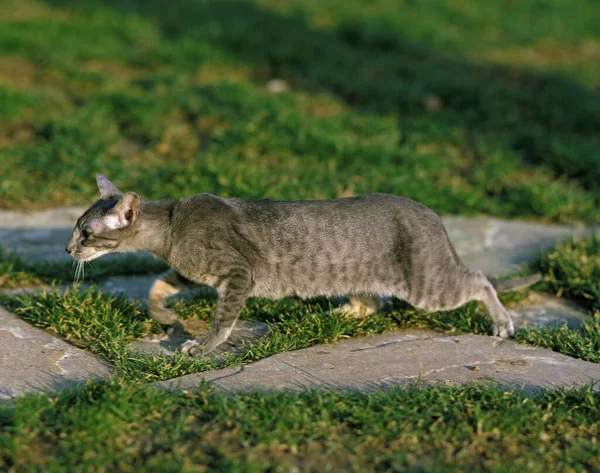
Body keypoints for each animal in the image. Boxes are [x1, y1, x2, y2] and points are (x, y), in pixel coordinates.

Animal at [64, 175, 540, 356]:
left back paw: (502, 323)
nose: (68, 250)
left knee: (479, 279)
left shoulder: (238, 274)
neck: (172, 225)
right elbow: (157, 286)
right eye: (75, 229)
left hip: (430, 285)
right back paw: (336, 313)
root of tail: (434, 216)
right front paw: (164, 315)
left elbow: (223, 320)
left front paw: (202, 345)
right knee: (373, 304)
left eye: (86, 234)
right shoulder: (188, 271)